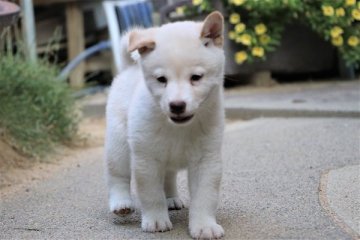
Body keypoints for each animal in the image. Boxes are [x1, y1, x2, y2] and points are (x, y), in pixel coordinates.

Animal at [104, 10, 225, 238]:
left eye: (196, 77)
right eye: (161, 79)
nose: (177, 105)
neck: (178, 129)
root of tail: (130, 68)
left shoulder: (206, 160)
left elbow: (205, 197)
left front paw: (204, 225)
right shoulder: (147, 160)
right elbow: (151, 195)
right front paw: (156, 220)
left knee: (168, 177)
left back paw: (171, 199)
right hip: (119, 146)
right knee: (118, 176)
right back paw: (121, 202)